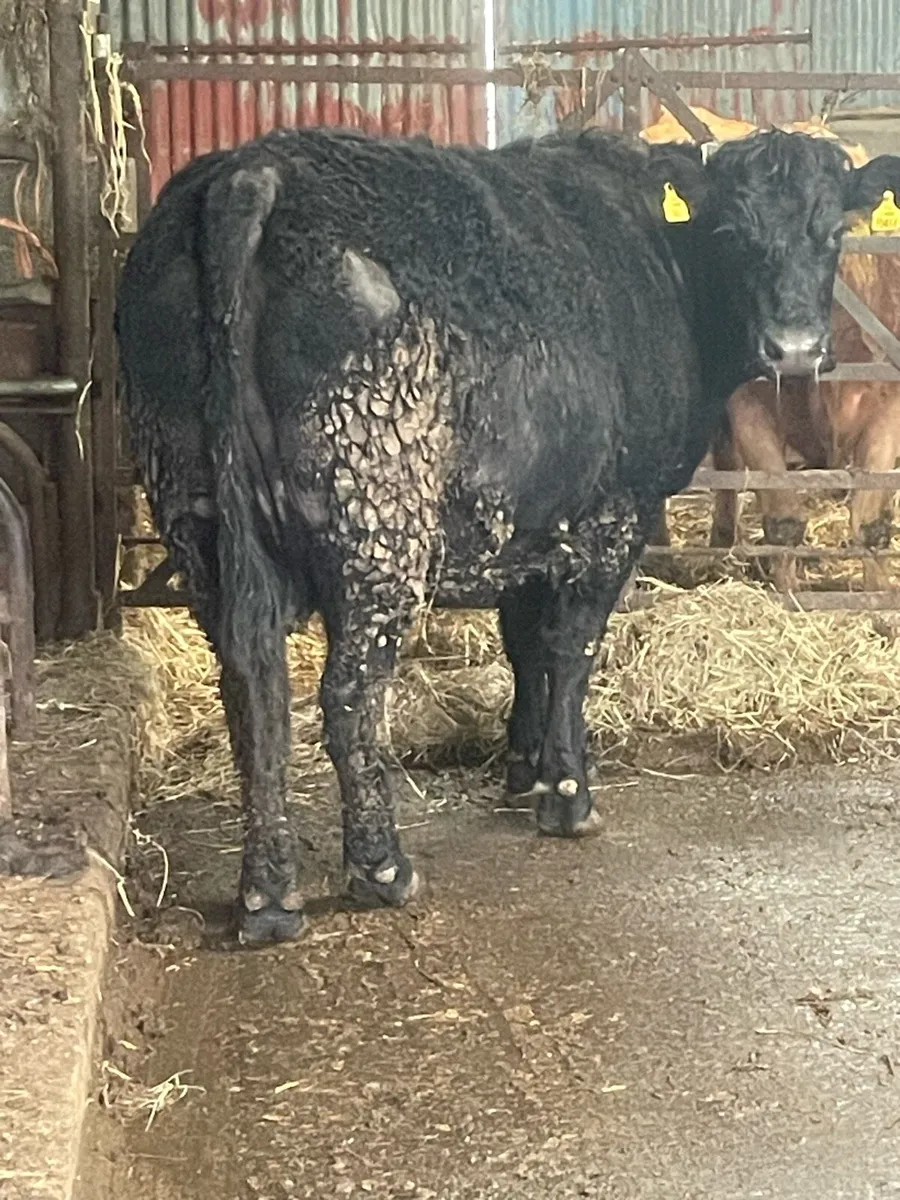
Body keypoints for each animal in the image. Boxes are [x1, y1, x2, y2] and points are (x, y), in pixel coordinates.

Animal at [115, 125, 900, 944]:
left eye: (832, 230)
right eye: (732, 233)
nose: (795, 348)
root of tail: (255, 170)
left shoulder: (529, 521)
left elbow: (523, 641)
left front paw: (523, 768)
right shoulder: (613, 516)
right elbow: (571, 651)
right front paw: (567, 791)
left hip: (197, 515)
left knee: (253, 693)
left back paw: (268, 894)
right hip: (379, 526)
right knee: (347, 696)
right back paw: (380, 867)